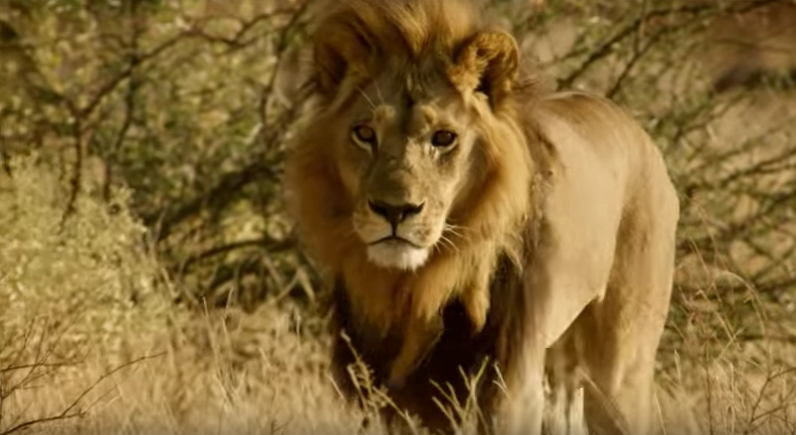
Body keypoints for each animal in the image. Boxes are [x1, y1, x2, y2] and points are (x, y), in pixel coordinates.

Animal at [282, 0, 680, 435]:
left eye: (443, 138)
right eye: (365, 134)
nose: (394, 210)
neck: (413, 288)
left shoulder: (509, 387)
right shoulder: (380, 392)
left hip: (620, 369)